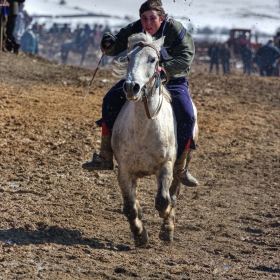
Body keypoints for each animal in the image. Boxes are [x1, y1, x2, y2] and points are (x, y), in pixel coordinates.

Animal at [111, 33, 197, 247]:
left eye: (153, 59)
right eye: (128, 58)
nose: (131, 87)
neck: (144, 128)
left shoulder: (165, 165)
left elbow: (163, 200)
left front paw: (165, 218)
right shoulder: (125, 170)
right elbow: (129, 207)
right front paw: (140, 234)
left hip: (180, 167)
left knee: (174, 192)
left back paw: (168, 229)